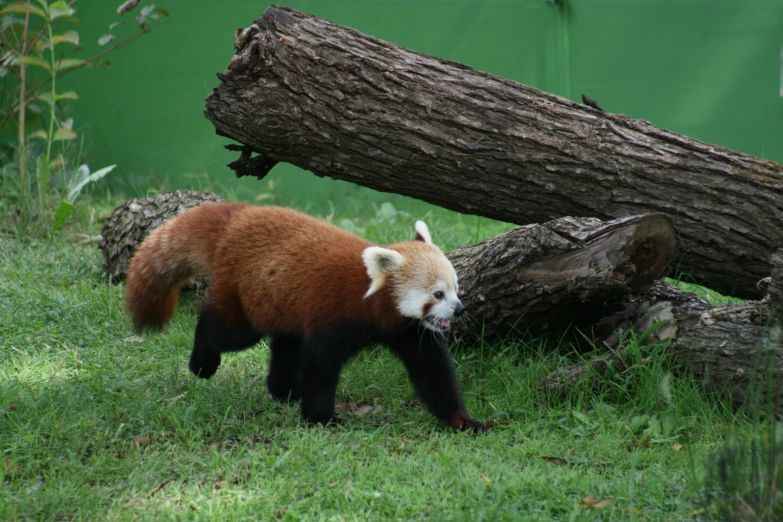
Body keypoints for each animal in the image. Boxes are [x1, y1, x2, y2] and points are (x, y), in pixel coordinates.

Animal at [124, 203, 484, 430]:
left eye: (456, 289)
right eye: (437, 294)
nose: (459, 309)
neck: (376, 307)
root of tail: (237, 215)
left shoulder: (409, 331)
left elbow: (433, 372)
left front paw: (462, 421)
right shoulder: (334, 316)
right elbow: (319, 366)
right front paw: (321, 419)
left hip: (281, 303)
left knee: (284, 346)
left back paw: (283, 391)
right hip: (244, 295)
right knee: (225, 330)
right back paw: (202, 362)